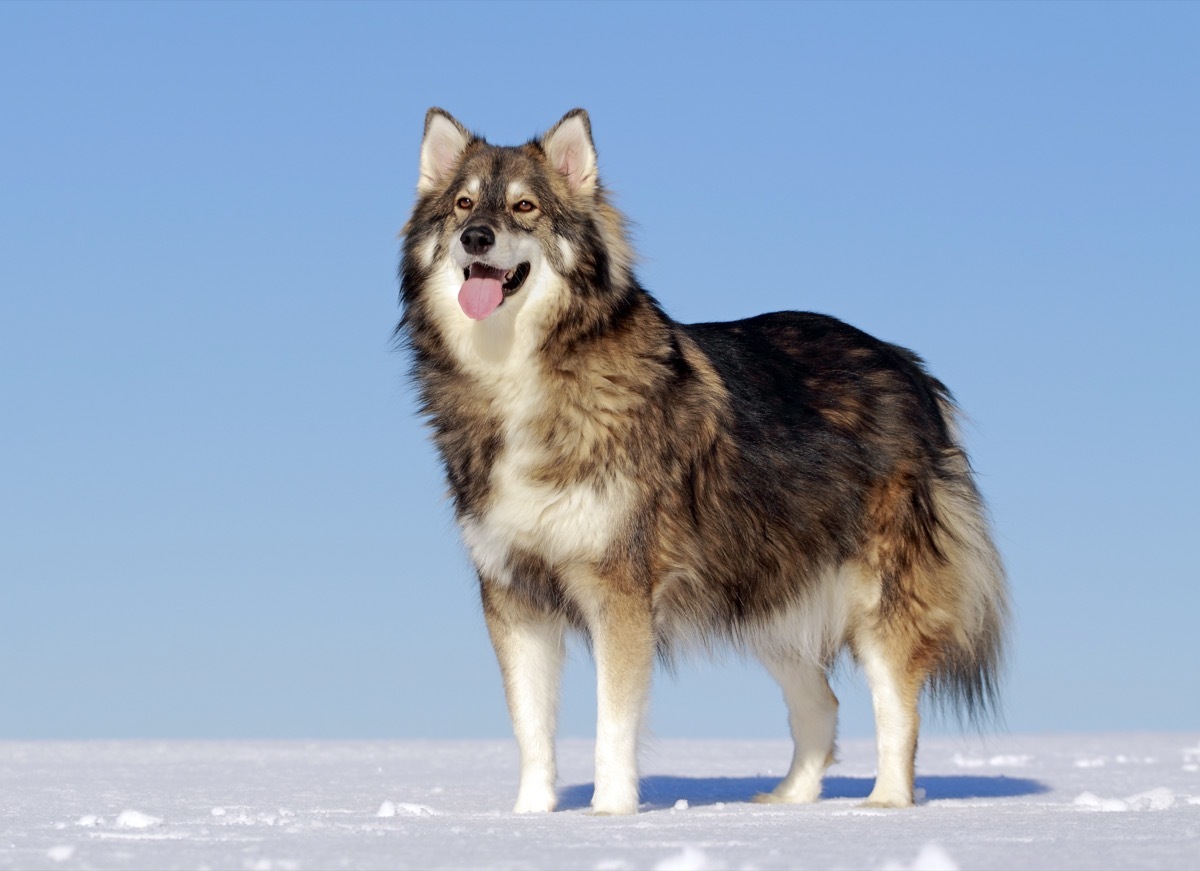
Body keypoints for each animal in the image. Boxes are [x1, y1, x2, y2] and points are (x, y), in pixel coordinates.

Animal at [398, 109, 1008, 820]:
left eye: (524, 207)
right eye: (463, 204)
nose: (476, 237)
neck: (524, 374)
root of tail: (908, 366)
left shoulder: (619, 591)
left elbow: (613, 723)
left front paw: (608, 816)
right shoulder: (513, 596)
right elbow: (531, 728)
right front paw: (529, 819)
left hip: (877, 595)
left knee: (896, 708)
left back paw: (884, 804)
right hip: (772, 597)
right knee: (820, 705)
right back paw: (788, 802)